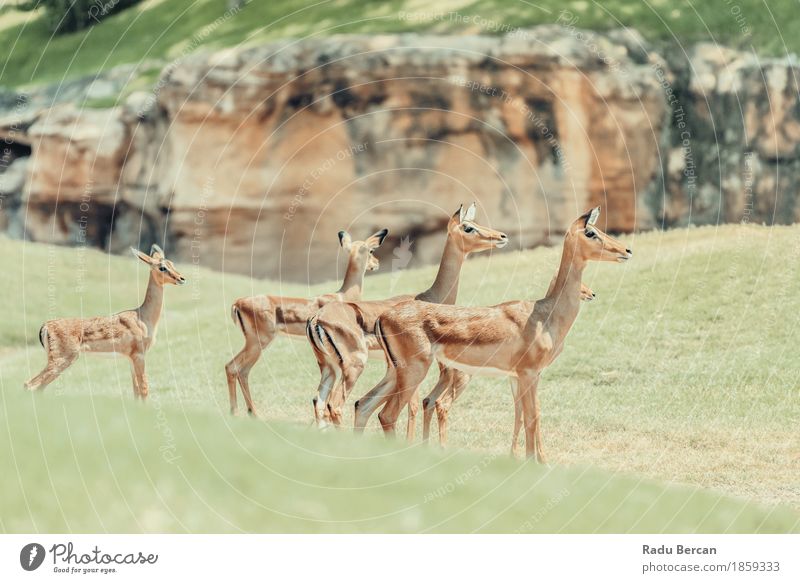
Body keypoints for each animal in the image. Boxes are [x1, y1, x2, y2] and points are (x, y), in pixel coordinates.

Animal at [23, 244, 188, 400]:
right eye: (162, 267)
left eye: (172, 263)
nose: (181, 278)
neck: (143, 317)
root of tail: (46, 326)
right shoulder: (139, 355)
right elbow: (144, 390)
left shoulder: (130, 358)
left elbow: (135, 391)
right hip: (62, 360)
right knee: (30, 385)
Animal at [223, 227, 390, 416]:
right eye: (371, 251)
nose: (376, 263)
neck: (343, 295)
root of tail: (238, 303)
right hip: (258, 343)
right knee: (235, 368)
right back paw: (243, 413)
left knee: (239, 370)